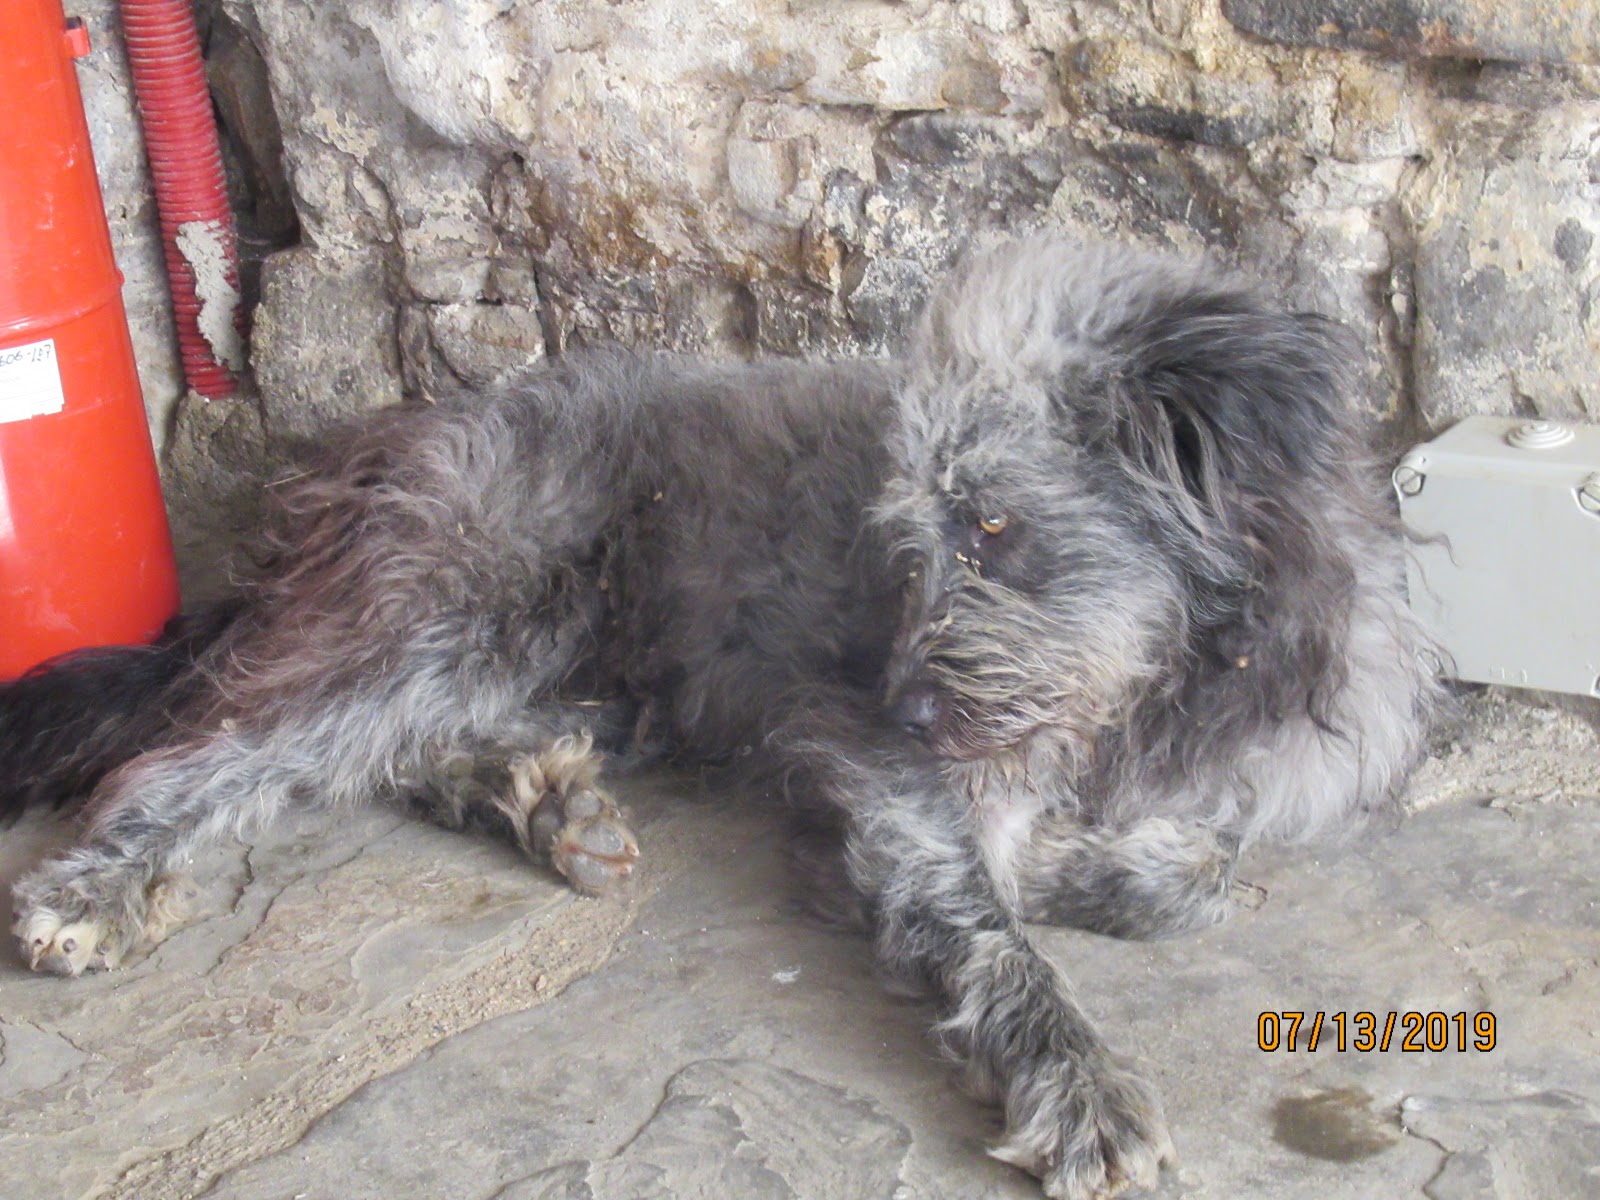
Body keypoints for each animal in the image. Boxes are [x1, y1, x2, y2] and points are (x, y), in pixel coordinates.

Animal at [1, 239, 1436, 1198]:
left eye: (993, 526)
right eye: (918, 538)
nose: (906, 700)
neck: (1167, 692)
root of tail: (368, 446)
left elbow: (1199, 873)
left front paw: (1087, 866)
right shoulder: (886, 769)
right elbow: (984, 919)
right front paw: (1070, 1070)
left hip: (569, 670)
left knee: (383, 751)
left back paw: (544, 802)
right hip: (452, 611)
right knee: (216, 748)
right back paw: (97, 886)